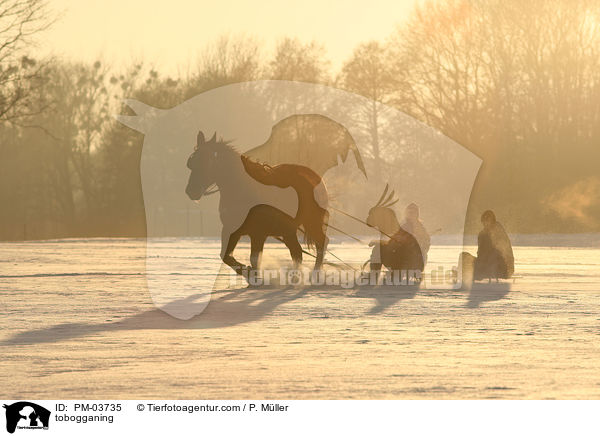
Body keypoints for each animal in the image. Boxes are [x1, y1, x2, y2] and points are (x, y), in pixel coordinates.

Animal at [185, 130, 330, 280]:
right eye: (192, 163)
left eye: (207, 162)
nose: (191, 191)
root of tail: (315, 178)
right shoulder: (231, 230)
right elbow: (226, 256)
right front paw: (248, 272)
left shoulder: (258, 233)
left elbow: (253, 259)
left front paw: (252, 275)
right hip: (288, 229)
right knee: (297, 252)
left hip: (311, 223)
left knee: (320, 244)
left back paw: (315, 275)